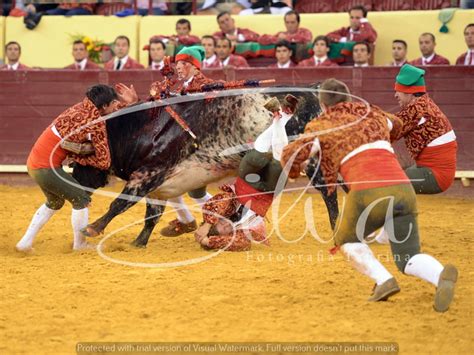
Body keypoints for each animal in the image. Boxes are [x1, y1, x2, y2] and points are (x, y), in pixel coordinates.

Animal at [73, 88, 340, 248]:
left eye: (80, 162)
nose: (76, 186)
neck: (140, 130)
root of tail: (313, 97)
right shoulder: (157, 184)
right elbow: (152, 215)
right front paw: (138, 242)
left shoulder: (146, 176)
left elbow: (120, 203)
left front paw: (92, 228)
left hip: (311, 161)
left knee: (328, 191)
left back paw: (336, 228)